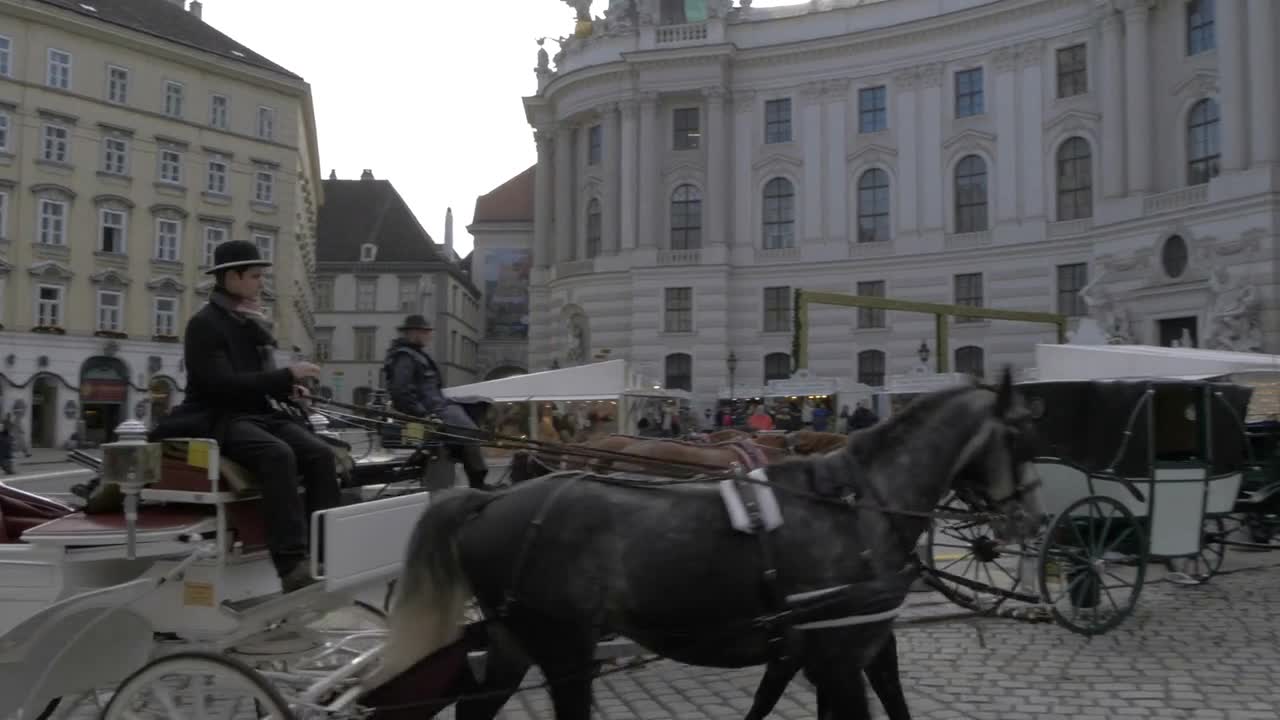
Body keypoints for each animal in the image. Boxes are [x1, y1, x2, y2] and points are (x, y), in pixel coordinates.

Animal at [371, 368, 1039, 717]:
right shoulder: (837, 654)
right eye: (1021, 435)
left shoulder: (840, 647)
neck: (855, 502)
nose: (1027, 517)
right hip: (563, 648)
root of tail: (490, 501)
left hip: (515, 640)